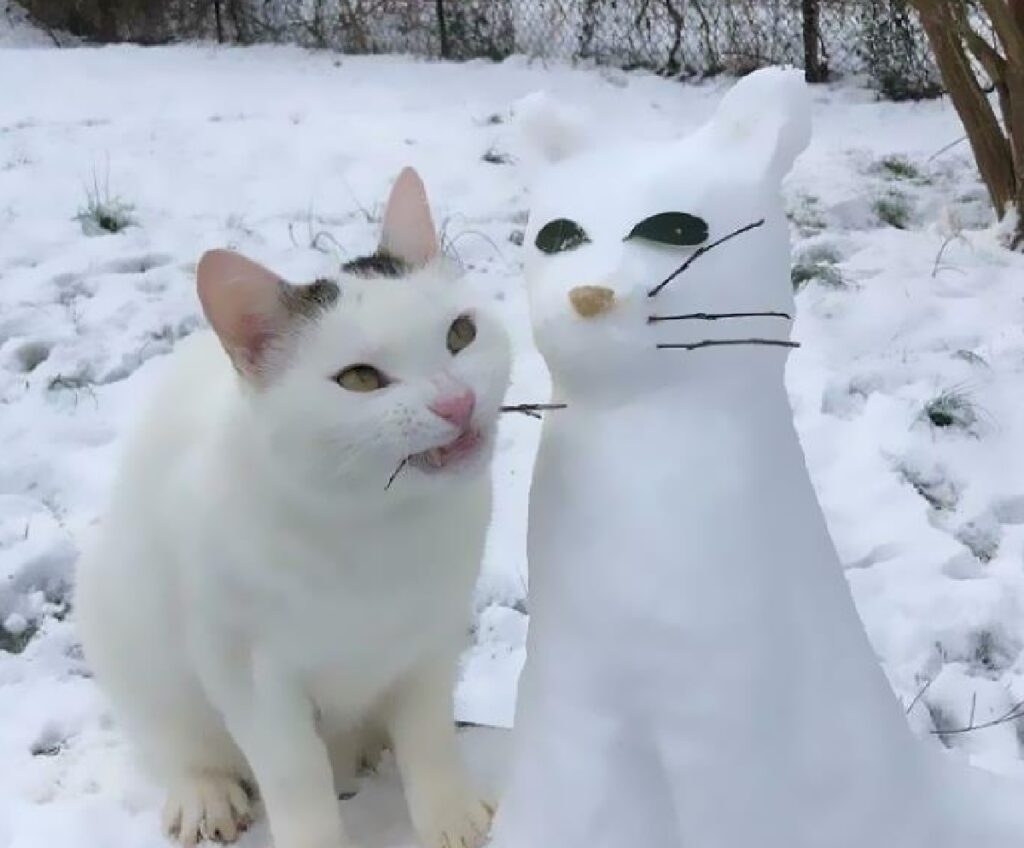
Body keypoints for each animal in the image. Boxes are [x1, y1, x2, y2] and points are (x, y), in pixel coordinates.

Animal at [75, 166, 512, 847]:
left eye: (460, 334)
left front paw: (451, 815)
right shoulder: (250, 674)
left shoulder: (434, 638)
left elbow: (430, 734)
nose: (457, 402)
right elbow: (293, 773)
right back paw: (205, 793)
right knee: (176, 741)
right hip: (113, 610)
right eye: (360, 379)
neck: (379, 529)